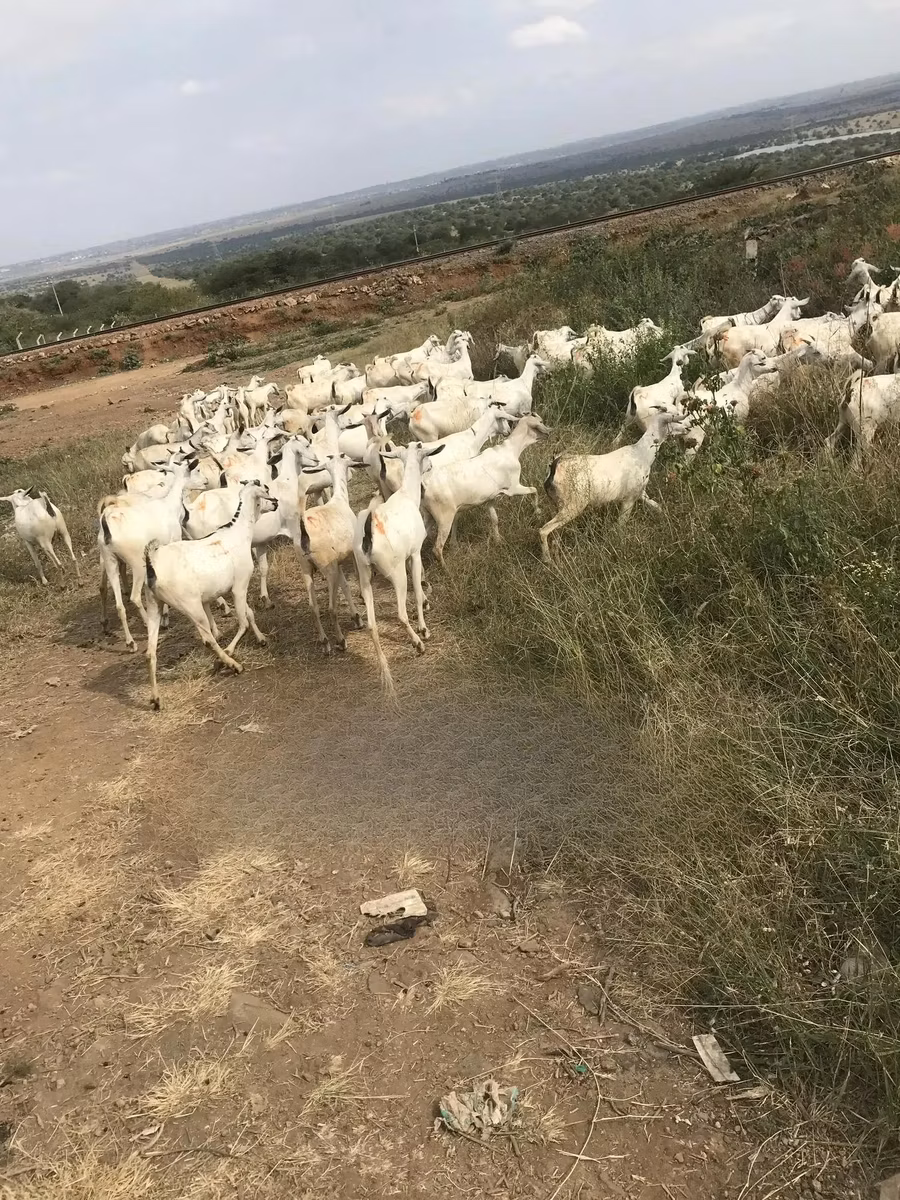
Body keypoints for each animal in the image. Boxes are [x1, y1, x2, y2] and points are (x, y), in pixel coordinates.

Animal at [144, 482, 278, 710]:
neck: (237, 532)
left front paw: (261, 639)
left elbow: (249, 614)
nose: (276, 503)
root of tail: (153, 562)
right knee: (207, 639)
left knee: (151, 651)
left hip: (154, 606)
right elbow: (243, 621)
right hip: (191, 606)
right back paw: (233, 665)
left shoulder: (231, 589)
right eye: (265, 491)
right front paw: (230, 653)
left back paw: (156, 699)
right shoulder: (239, 586)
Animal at [421, 414, 550, 563]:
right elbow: (534, 489)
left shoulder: (491, 497)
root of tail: (425, 485)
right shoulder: (513, 487)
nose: (550, 431)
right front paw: (538, 512)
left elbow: (494, 519)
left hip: (428, 515)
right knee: (437, 548)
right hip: (444, 517)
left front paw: (498, 540)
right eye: (540, 422)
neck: (511, 449)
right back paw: (445, 567)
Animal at [539, 409, 686, 562]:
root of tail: (553, 469)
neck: (644, 455)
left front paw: (666, 516)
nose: (687, 429)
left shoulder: (640, 492)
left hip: (559, 504)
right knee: (544, 530)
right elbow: (620, 525)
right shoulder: (629, 498)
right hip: (574, 504)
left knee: (555, 533)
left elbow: (657, 506)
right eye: (677, 420)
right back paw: (547, 560)